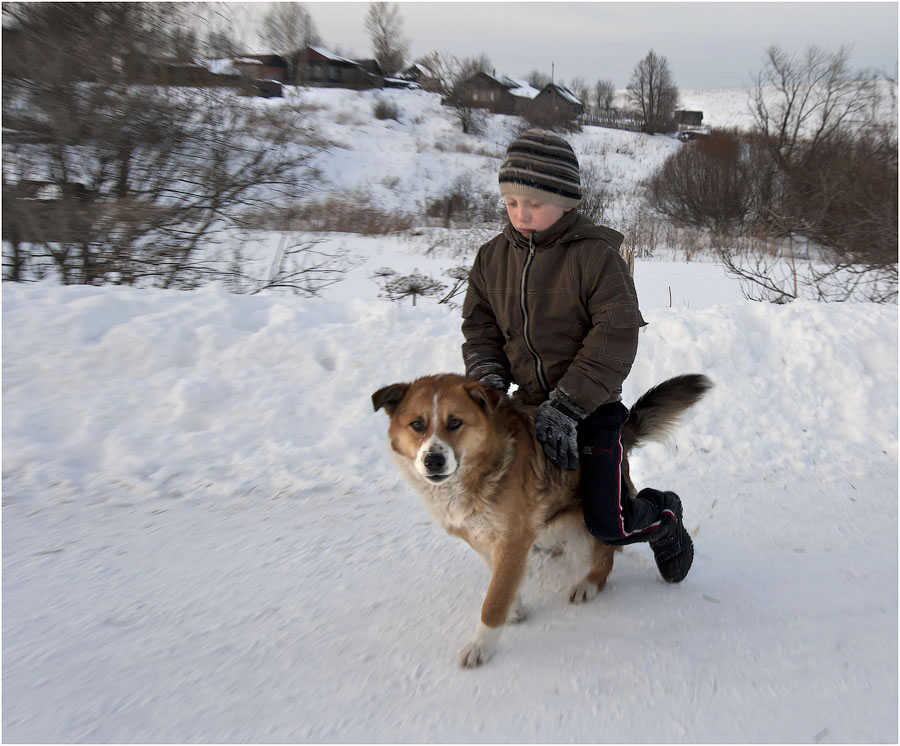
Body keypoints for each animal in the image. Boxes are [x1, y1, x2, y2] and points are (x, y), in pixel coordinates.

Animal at [370, 370, 712, 664]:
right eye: (417, 424)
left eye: (454, 422)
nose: (433, 460)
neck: (479, 470)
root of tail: (622, 436)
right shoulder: (485, 539)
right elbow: (500, 582)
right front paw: (514, 607)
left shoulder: (512, 539)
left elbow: (492, 603)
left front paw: (481, 647)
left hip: (594, 517)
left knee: (610, 548)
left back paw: (603, 575)